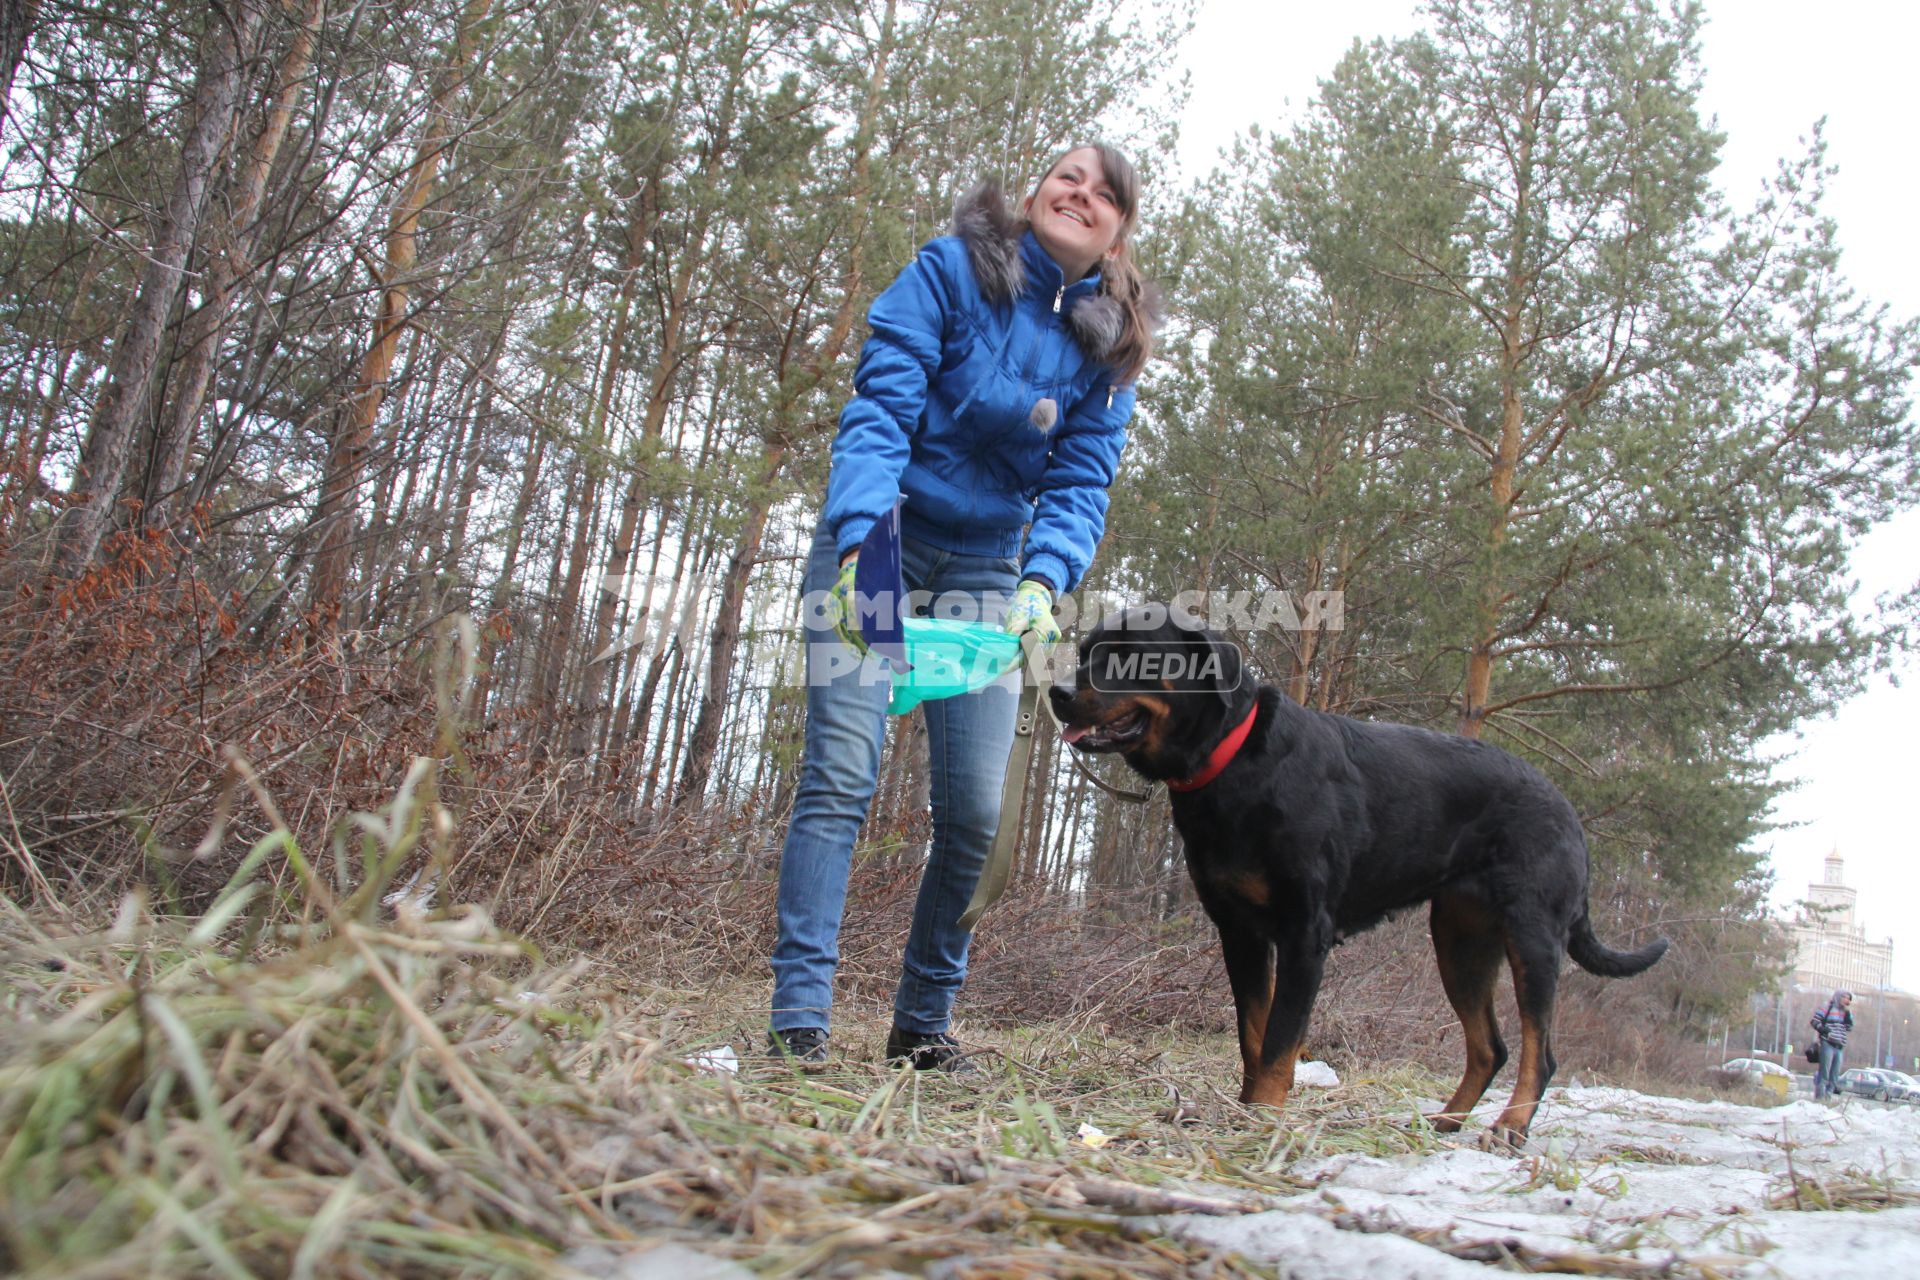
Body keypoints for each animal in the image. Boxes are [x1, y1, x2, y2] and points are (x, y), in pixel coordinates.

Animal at [1052, 606, 1666, 1143]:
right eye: (1084, 652)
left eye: (1129, 655)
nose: (1057, 692)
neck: (1236, 764)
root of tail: (1569, 812)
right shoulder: (1240, 934)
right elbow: (1253, 1035)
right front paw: (1247, 1112)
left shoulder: (1305, 934)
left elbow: (1280, 1042)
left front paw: (1264, 1120)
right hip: (1460, 942)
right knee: (1491, 1046)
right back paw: (1445, 1121)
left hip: (1532, 939)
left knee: (1542, 1049)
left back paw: (1509, 1128)